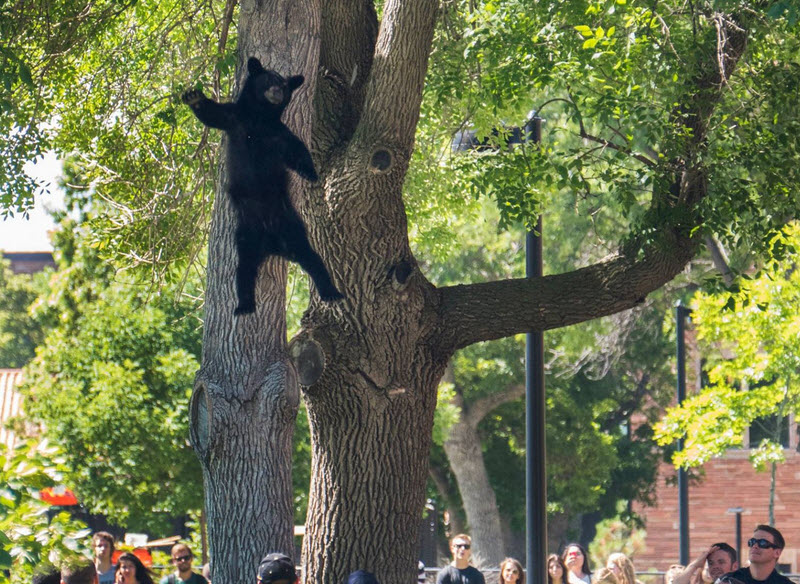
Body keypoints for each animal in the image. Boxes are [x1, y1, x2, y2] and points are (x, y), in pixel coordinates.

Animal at [182, 56, 343, 315]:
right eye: (268, 79)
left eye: (285, 86)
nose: (277, 91)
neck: (260, 118)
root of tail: (273, 244)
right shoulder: (235, 119)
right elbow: (214, 114)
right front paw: (194, 97)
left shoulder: (280, 134)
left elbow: (298, 149)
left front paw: (310, 173)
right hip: (246, 234)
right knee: (244, 270)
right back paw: (244, 305)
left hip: (292, 226)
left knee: (311, 258)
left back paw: (331, 291)